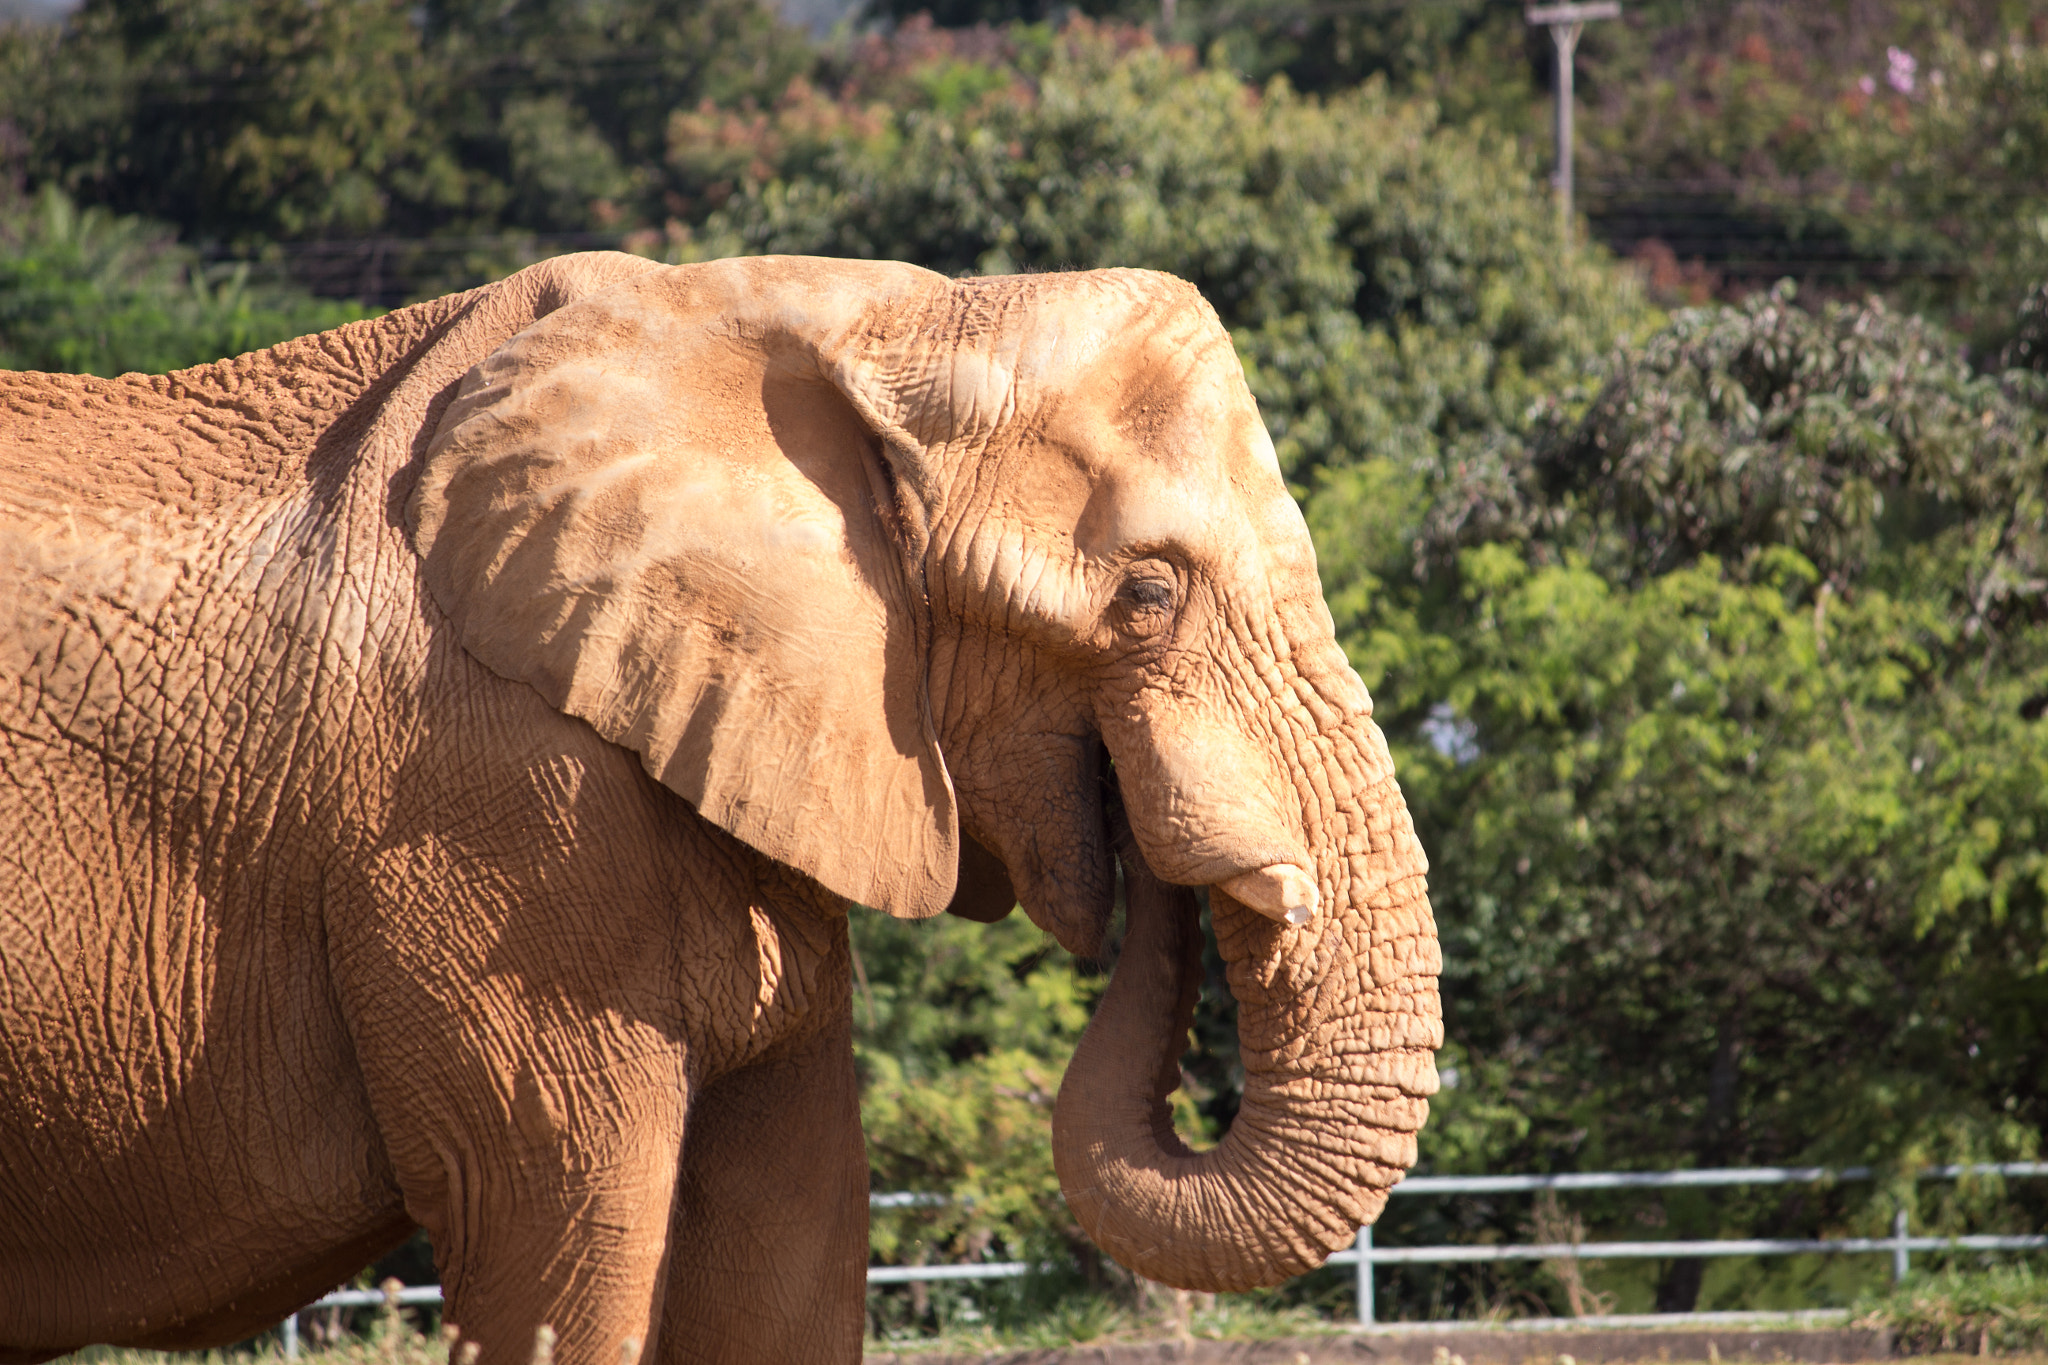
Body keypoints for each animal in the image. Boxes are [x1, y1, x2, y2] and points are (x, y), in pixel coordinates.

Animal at [0, 252, 1441, 1364]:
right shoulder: (488, 813)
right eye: (1147, 594)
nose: (1157, 861)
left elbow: (791, 1248)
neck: (876, 316)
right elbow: (553, 1225)